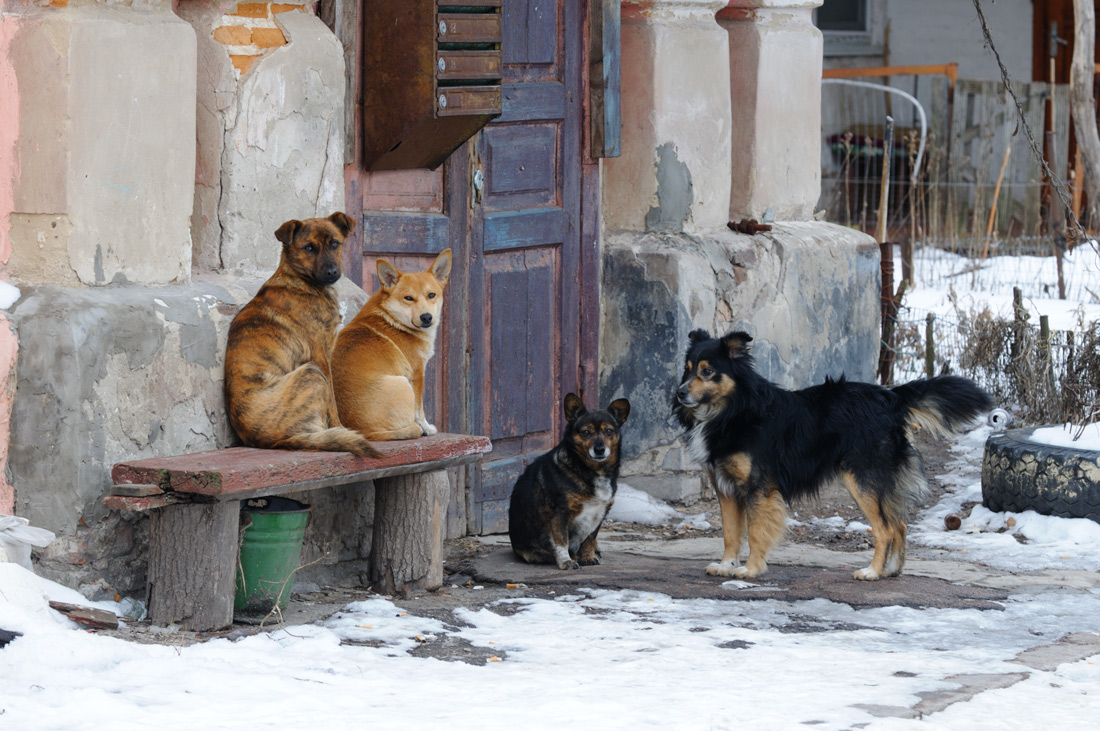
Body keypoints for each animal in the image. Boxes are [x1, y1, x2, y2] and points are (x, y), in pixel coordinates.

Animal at [221, 209, 380, 457]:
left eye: (335, 244)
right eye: (309, 248)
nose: (332, 272)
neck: (302, 282)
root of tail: (273, 443)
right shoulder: (320, 356)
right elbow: (332, 402)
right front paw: (341, 426)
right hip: (311, 372)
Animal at [334, 248, 455, 439]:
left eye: (431, 295)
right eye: (408, 298)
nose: (426, 317)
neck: (393, 318)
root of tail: (365, 432)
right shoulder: (417, 375)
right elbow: (419, 410)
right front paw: (427, 428)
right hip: (403, 383)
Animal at [508, 393, 633, 571]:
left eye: (608, 430)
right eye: (586, 432)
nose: (599, 450)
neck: (590, 471)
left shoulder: (600, 513)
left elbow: (590, 538)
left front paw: (588, 556)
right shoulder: (560, 512)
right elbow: (561, 541)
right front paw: (566, 561)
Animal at [673, 329, 994, 580]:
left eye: (707, 371)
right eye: (687, 369)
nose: (679, 393)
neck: (732, 409)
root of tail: (891, 396)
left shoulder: (759, 487)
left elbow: (754, 531)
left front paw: (750, 569)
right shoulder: (725, 486)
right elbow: (729, 531)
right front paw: (726, 564)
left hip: (862, 479)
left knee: (885, 529)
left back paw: (872, 572)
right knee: (899, 524)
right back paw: (891, 569)